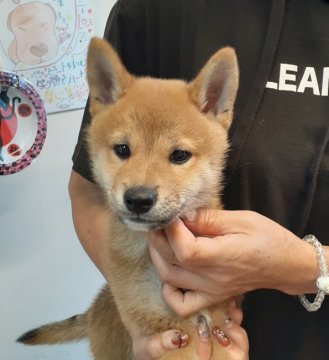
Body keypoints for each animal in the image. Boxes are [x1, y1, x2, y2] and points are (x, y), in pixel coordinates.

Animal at [17, 38, 238, 358]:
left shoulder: (219, 320)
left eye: (179, 155)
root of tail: (94, 309)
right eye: (122, 149)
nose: (138, 199)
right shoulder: (165, 331)